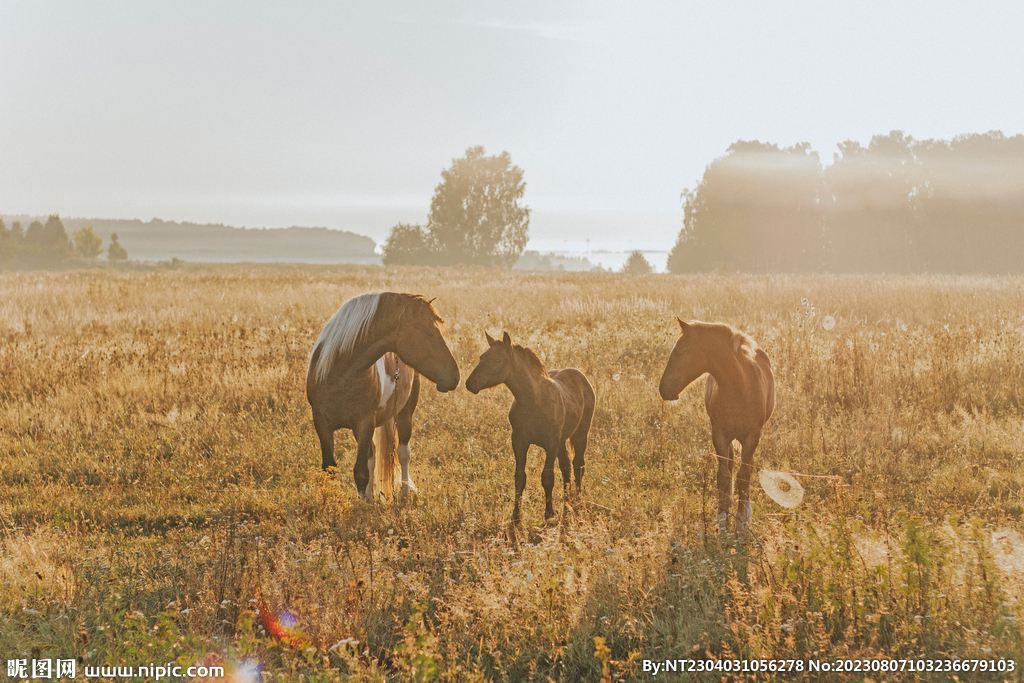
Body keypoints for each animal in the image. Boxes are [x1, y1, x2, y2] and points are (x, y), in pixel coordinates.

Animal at [306, 292, 459, 501]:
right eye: (427, 331)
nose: (455, 376)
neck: (339, 373)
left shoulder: (365, 422)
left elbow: (360, 472)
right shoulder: (321, 422)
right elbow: (330, 468)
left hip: (404, 414)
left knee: (403, 453)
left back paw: (404, 497)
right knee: (372, 456)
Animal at [465, 331, 596, 523]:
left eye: (497, 360)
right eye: (482, 357)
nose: (470, 383)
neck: (533, 400)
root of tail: (581, 376)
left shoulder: (551, 444)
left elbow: (547, 477)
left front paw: (549, 514)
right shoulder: (519, 441)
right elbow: (520, 477)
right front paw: (516, 516)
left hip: (580, 434)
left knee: (578, 465)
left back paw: (577, 501)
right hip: (562, 440)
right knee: (566, 467)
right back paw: (567, 502)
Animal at [658, 319, 775, 536]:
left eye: (680, 352)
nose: (663, 389)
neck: (739, 387)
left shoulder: (752, 437)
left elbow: (744, 476)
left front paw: (741, 521)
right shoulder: (719, 435)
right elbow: (723, 476)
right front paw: (721, 518)